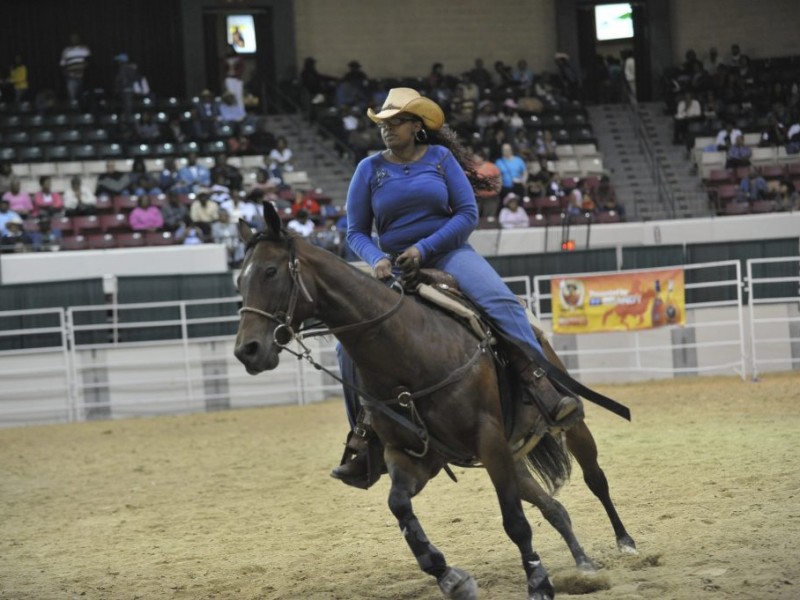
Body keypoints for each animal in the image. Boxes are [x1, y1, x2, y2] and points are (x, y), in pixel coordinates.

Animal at [233, 203, 636, 600]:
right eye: (239, 281)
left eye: (270, 271)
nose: (246, 350)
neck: (409, 350)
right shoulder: (411, 456)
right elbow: (399, 507)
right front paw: (451, 577)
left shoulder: (488, 439)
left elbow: (515, 522)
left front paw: (539, 584)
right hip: (511, 456)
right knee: (554, 506)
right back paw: (584, 564)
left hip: (566, 424)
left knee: (595, 478)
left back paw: (625, 542)